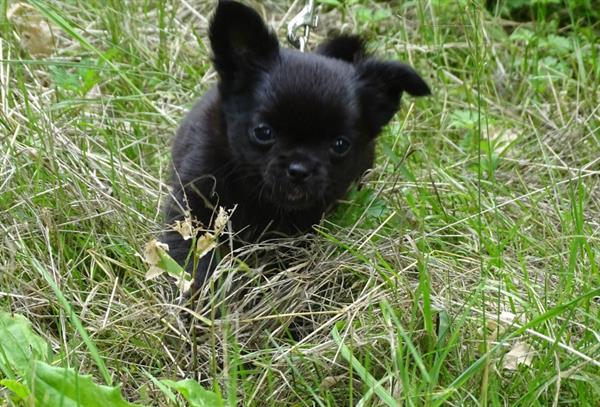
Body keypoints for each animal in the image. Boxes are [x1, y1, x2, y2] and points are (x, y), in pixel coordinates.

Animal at [162, 0, 428, 294]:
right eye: (263, 132)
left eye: (340, 145)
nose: (299, 169)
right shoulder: (193, 207)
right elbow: (193, 257)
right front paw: (201, 295)